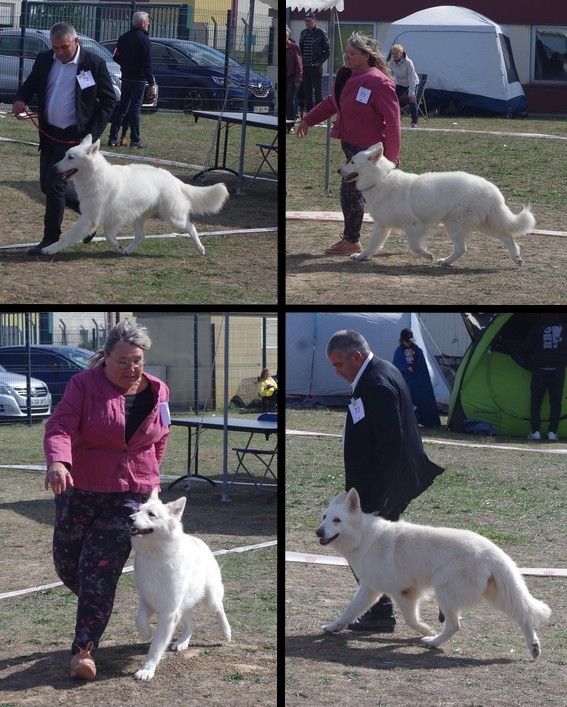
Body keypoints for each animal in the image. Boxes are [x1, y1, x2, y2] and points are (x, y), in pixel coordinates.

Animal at [42, 134, 230, 256]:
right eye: (65, 155)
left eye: (70, 157)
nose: (52, 168)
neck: (96, 176)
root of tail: (175, 180)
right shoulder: (111, 220)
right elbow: (109, 236)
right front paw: (118, 247)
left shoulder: (89, 219)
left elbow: (67, 237)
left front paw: (50, 249)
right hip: (138, 217)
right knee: (141, 236)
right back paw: (128, 250)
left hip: (174, 218)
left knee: (191, 227)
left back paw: (200, 248)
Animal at [130, 492, 231, 680]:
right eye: (138, 510)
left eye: (151, 514)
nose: (129, 518)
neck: (155, 556)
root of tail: (199, 540)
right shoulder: (147, 601)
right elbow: (140, 621)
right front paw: (147, 634)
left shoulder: (169, 613)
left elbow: (156, 647)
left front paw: (147, 669)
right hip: (182, 606)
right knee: (191, 624)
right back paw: (183, 642)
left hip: (210, 599)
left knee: (219, 610)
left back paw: (226, 632)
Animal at [316, 486, 552, 660]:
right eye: (324, 517)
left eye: (337, 520)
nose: (318, 532)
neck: (364, 537)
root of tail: (492, 553)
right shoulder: (370, 589)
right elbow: (349, 610)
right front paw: (334, 627)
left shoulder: (404, 593)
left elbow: (411, 620)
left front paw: (426, 630)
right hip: (495, 595)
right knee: (523, 615)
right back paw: (533, 646)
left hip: (445, 593)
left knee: (455, 625)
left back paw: (433, 642)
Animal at [342, 142, 536, 266]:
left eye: (352, 161)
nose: (339, 170)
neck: (379, 180)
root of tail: (492, 190)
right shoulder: (382, 225)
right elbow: (372, 244)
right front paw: (361, 256)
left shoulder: (414, 224)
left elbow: (414, 246)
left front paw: (428, 255)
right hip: (484, 224)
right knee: (507, 236)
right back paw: (516, 258)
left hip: (455, 224)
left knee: (462, 248)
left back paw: (446, 261)